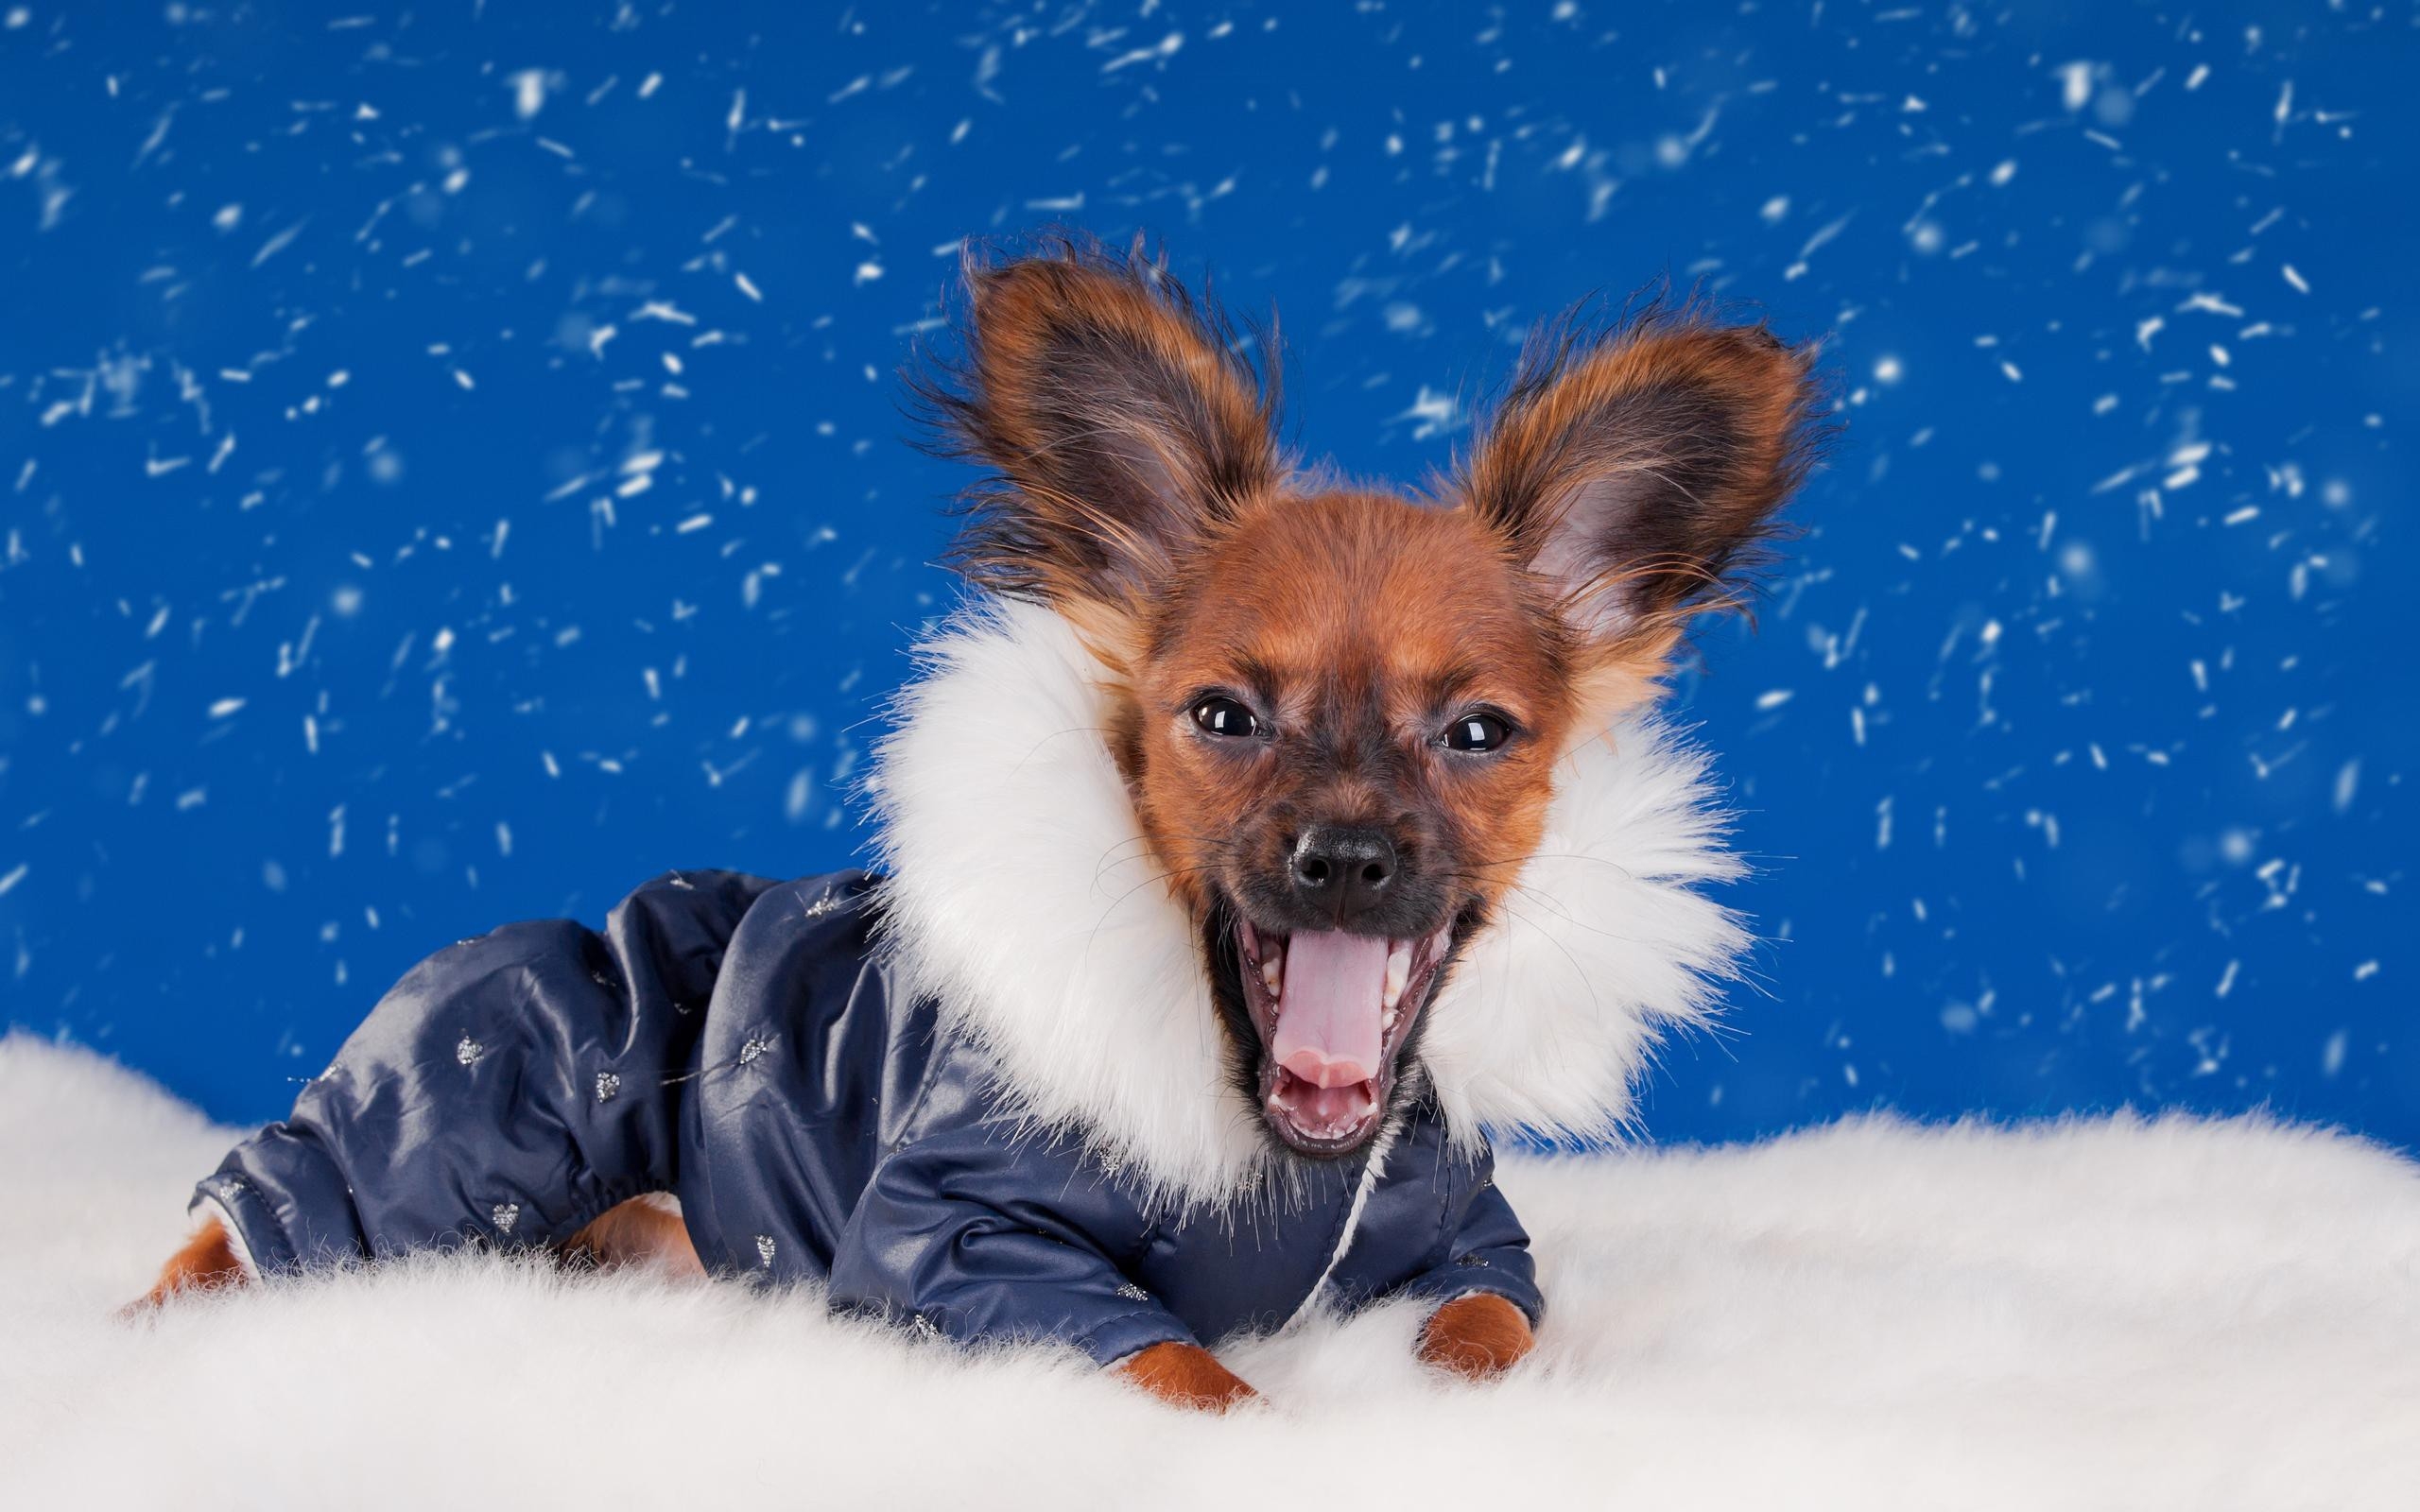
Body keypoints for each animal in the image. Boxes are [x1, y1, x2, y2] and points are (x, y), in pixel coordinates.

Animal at [132, 233, 1820, 1402]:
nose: (1343, 859)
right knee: (250, 1228)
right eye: (1224, 718)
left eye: (1479, 736)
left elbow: (1487, 1328)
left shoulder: (1475, 1242)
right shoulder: (958, 1246)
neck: (1271, 1156)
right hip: (508, 1080)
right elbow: (1190, 1368)